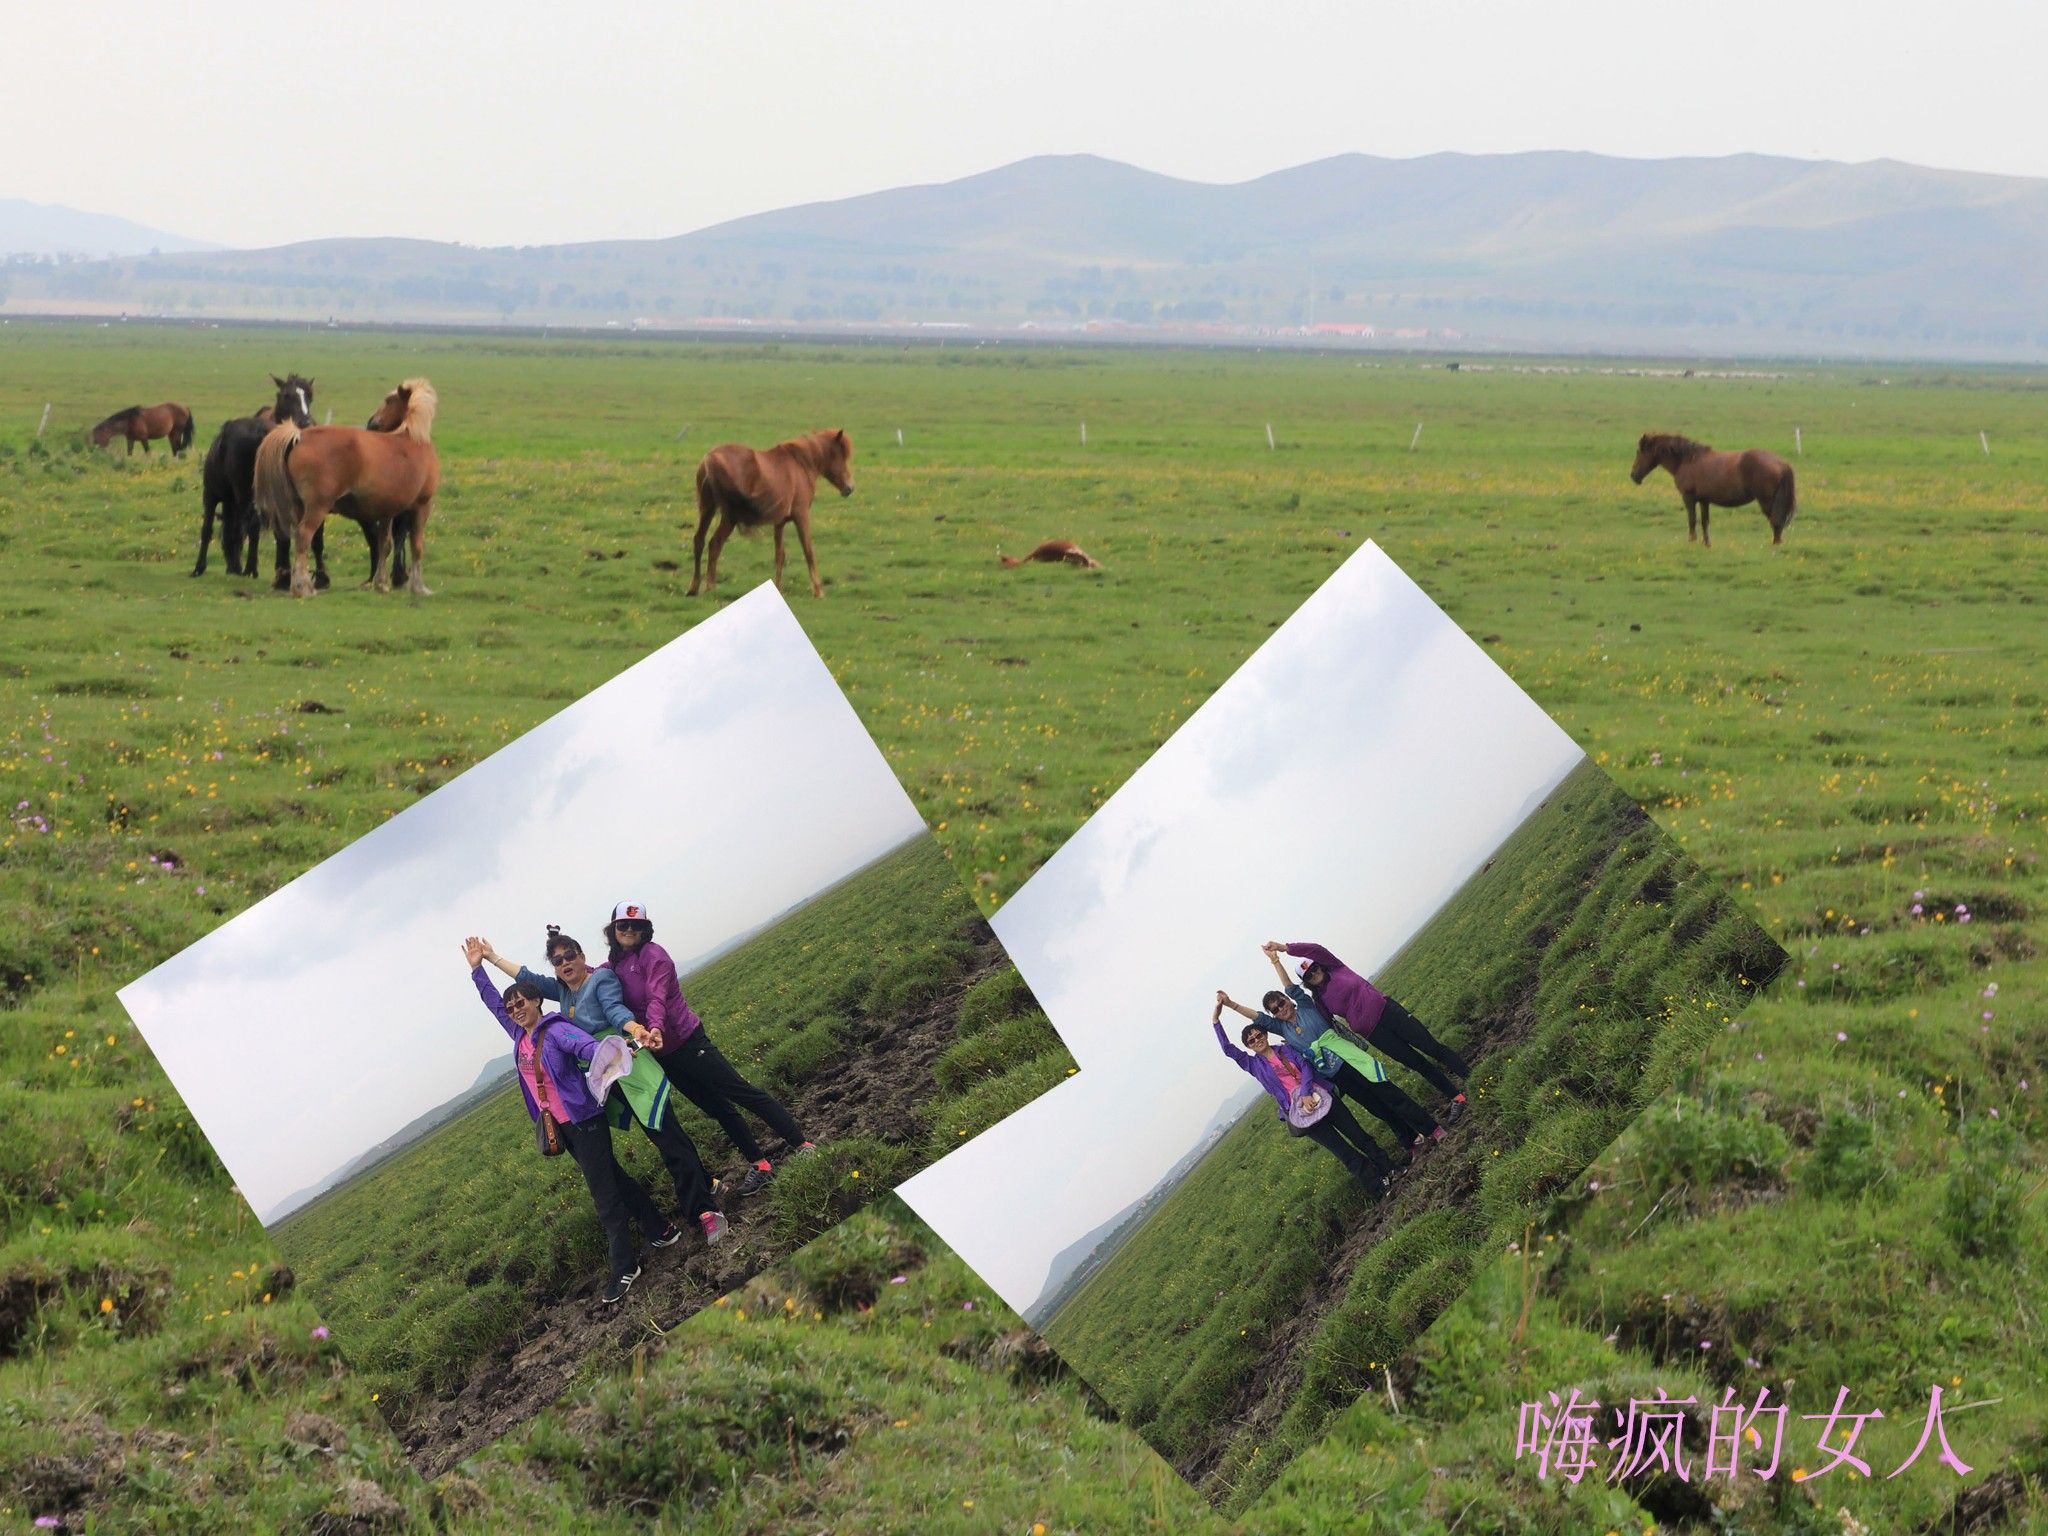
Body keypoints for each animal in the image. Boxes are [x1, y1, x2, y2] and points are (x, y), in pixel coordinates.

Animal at [253, 378, 438, 602]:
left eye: (389, 401)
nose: (372, 422)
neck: (412, 439)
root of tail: (300, 436)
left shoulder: (387, 511)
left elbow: (384, 545)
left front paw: (381, 583)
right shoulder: (422, 505)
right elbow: (417, 546)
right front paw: (419, 587)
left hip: (298, 506)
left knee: (298, 538)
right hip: (317, 507)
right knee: (304, 536)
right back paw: (302, 587)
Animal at [684, 434, 851, 606]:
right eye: (841, 455)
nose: (849, 488)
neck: (799, 463)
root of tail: (710, 458)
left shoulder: (780, 523)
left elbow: (779, 555)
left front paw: (778, 588)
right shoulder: (801, 516)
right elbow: (808, 550)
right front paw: (818, 591)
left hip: (707, 509)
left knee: (700, 541)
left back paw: (694, 587)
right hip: (729, 517)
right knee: (715, 543)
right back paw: (710, 587)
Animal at [1630, 430, 1794, 548]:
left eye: (1639, 452)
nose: (1633, 476)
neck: (1687, 460)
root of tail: (1781, 462)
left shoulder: (1688, 498)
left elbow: (1692, 520)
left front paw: (1692, 541)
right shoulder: (1704, 500)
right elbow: (1705, 521)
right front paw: (1707, 544)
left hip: (1766, 501)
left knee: (1775, 520)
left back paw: (1776, 544)